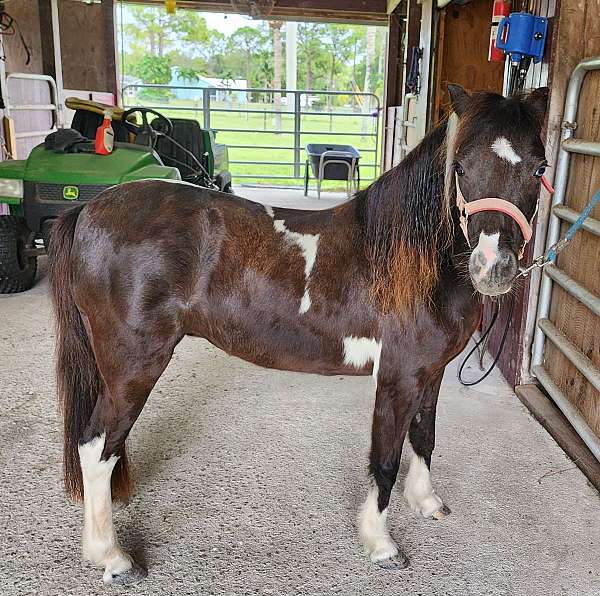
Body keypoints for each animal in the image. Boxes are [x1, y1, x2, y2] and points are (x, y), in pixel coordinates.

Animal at [48, 86, 548, 584]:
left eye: (540, 167)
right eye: (459, 167)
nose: (493, 267)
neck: (415, 261)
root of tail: (87, 209)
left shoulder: (432, 373)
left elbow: (424, 437)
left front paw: (426, 502)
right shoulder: (397, 378)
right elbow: (384, 461)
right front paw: (381, 545)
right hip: (132, 368)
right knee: (95, 447)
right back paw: (112, 558)